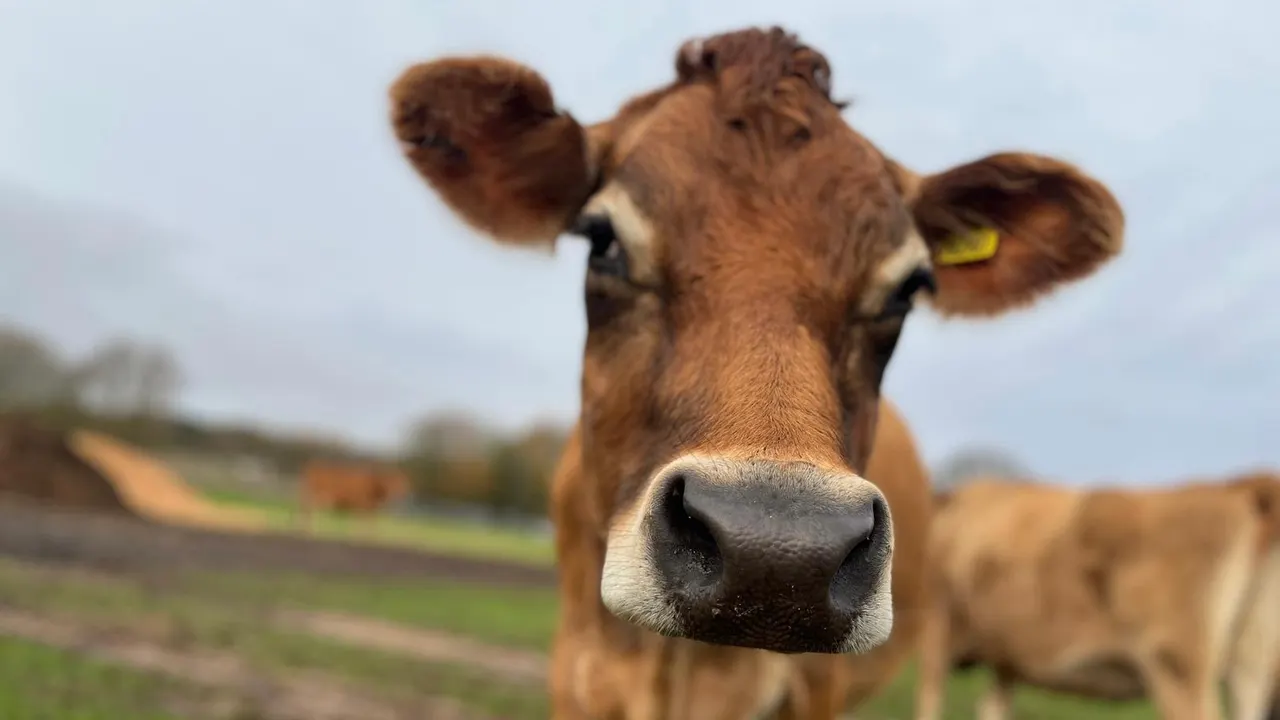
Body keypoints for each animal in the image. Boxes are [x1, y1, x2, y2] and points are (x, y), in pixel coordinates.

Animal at [914, 472, 1280, 720]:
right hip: (1248, 673)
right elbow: (992, 707)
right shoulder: (1006, 660)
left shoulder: (936, 630)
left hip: (1177, 667)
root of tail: (1235, 488)